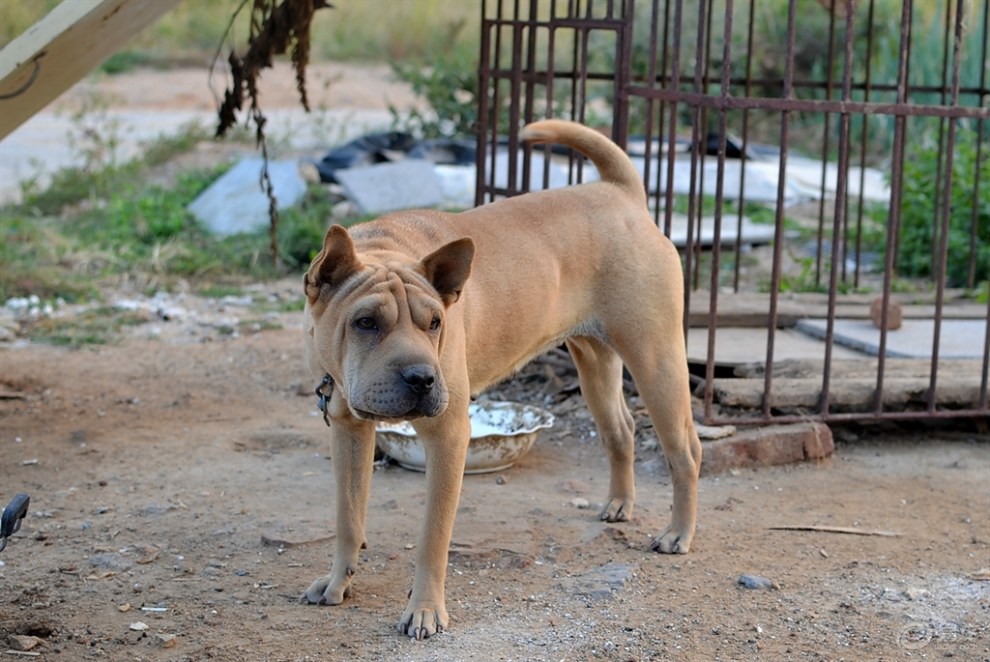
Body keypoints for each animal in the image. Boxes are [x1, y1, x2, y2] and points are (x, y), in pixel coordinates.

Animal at [302, 122, 704, 640]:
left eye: (435, 323)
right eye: (365, 322)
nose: (422, 378)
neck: (386, 249)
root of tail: (622, 194)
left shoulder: (449, 436)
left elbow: (432, 537)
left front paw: (425, 610)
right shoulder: (349, 432)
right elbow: (348, 517)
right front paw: (338, 582)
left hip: (657, 360)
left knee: (684, 449)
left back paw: (678, 533)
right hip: (595, 363)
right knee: (622, 431)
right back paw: (619, 504)